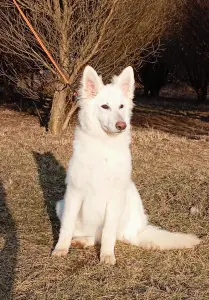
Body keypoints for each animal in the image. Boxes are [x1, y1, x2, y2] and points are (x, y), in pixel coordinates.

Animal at [51, 65, 200, 264]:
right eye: (105, 106)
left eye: (121, 106)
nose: (122, 125)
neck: (104, 146)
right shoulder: (74, 193)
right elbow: (66, 227)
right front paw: (61, 248)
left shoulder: (115, 197)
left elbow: (108, 233)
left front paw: (107, 255)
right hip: (61, 205)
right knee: (92, 236)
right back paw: (81, 241)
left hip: (127, 202)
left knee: (112, 236)